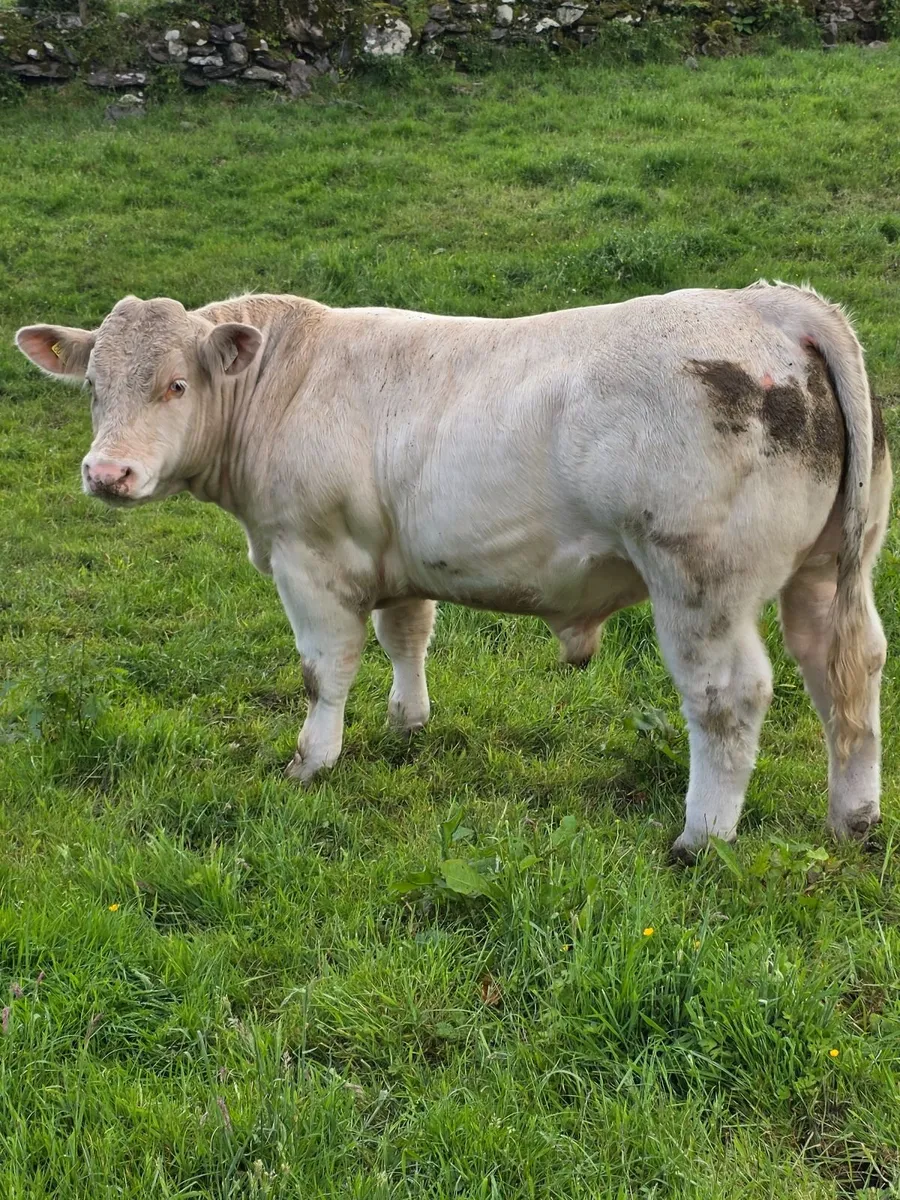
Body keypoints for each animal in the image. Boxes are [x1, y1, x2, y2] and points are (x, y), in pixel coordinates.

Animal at [15, 281, 891, 859]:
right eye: (92, 386)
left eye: (176, 383)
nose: (107, 474)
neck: (282, 383)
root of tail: (770, 302)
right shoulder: (390, 554)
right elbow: (407, 634)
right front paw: (408, 722)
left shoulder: (309, 555)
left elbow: (323, 670)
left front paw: (311, 760)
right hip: (829, 570)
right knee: (846, 670)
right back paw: (853, 817)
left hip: (699, 580)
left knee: (728, 698)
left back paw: (701, 836)